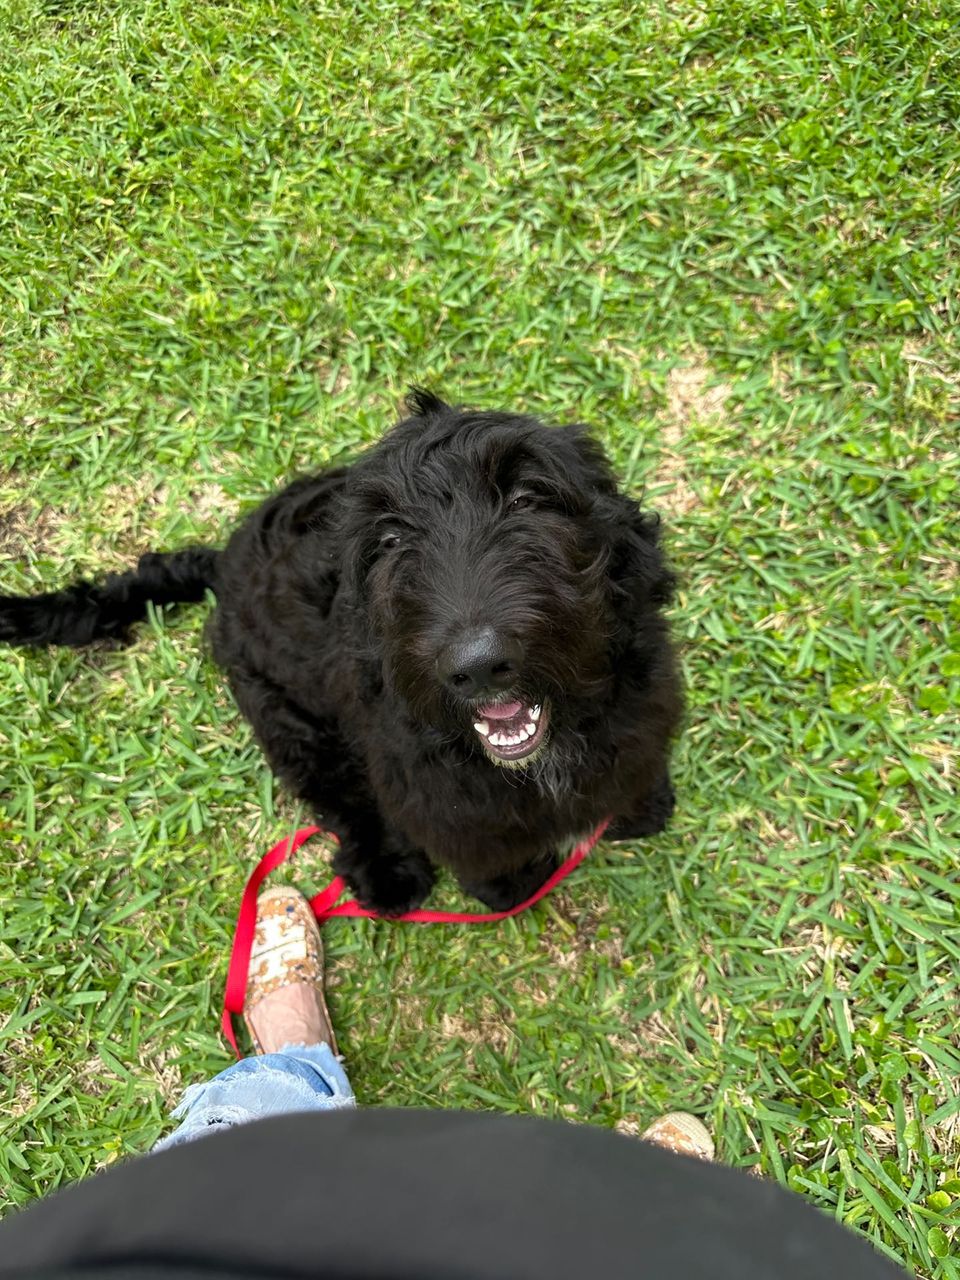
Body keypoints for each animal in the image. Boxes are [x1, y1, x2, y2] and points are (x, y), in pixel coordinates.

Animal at [1, 391, 682, 913]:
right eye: (389, 539)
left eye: (526, 499)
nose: (477, 666)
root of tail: (221, 567)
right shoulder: (446, 805)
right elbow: (484, 857)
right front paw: (512, 887)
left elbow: (631, 769)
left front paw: (643, 808)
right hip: (294, 727)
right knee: (345, 805)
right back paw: (388, 875)